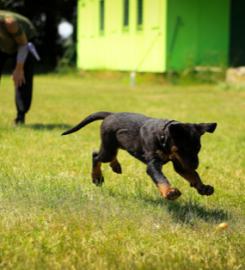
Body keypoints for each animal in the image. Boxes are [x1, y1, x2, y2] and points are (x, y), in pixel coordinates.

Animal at [62, 112, 217, 200]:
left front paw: (203, 187)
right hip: (108, 149)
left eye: (198, 148)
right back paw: (97, 177)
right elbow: (161, 178)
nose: (196, 164)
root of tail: (110, 114)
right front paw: (169, 192)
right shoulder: (154, 163)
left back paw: (115, 166)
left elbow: (193, 175)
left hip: (117, 144)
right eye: (185, 148)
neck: (162, 136)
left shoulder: (181, 163)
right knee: (96, 155)